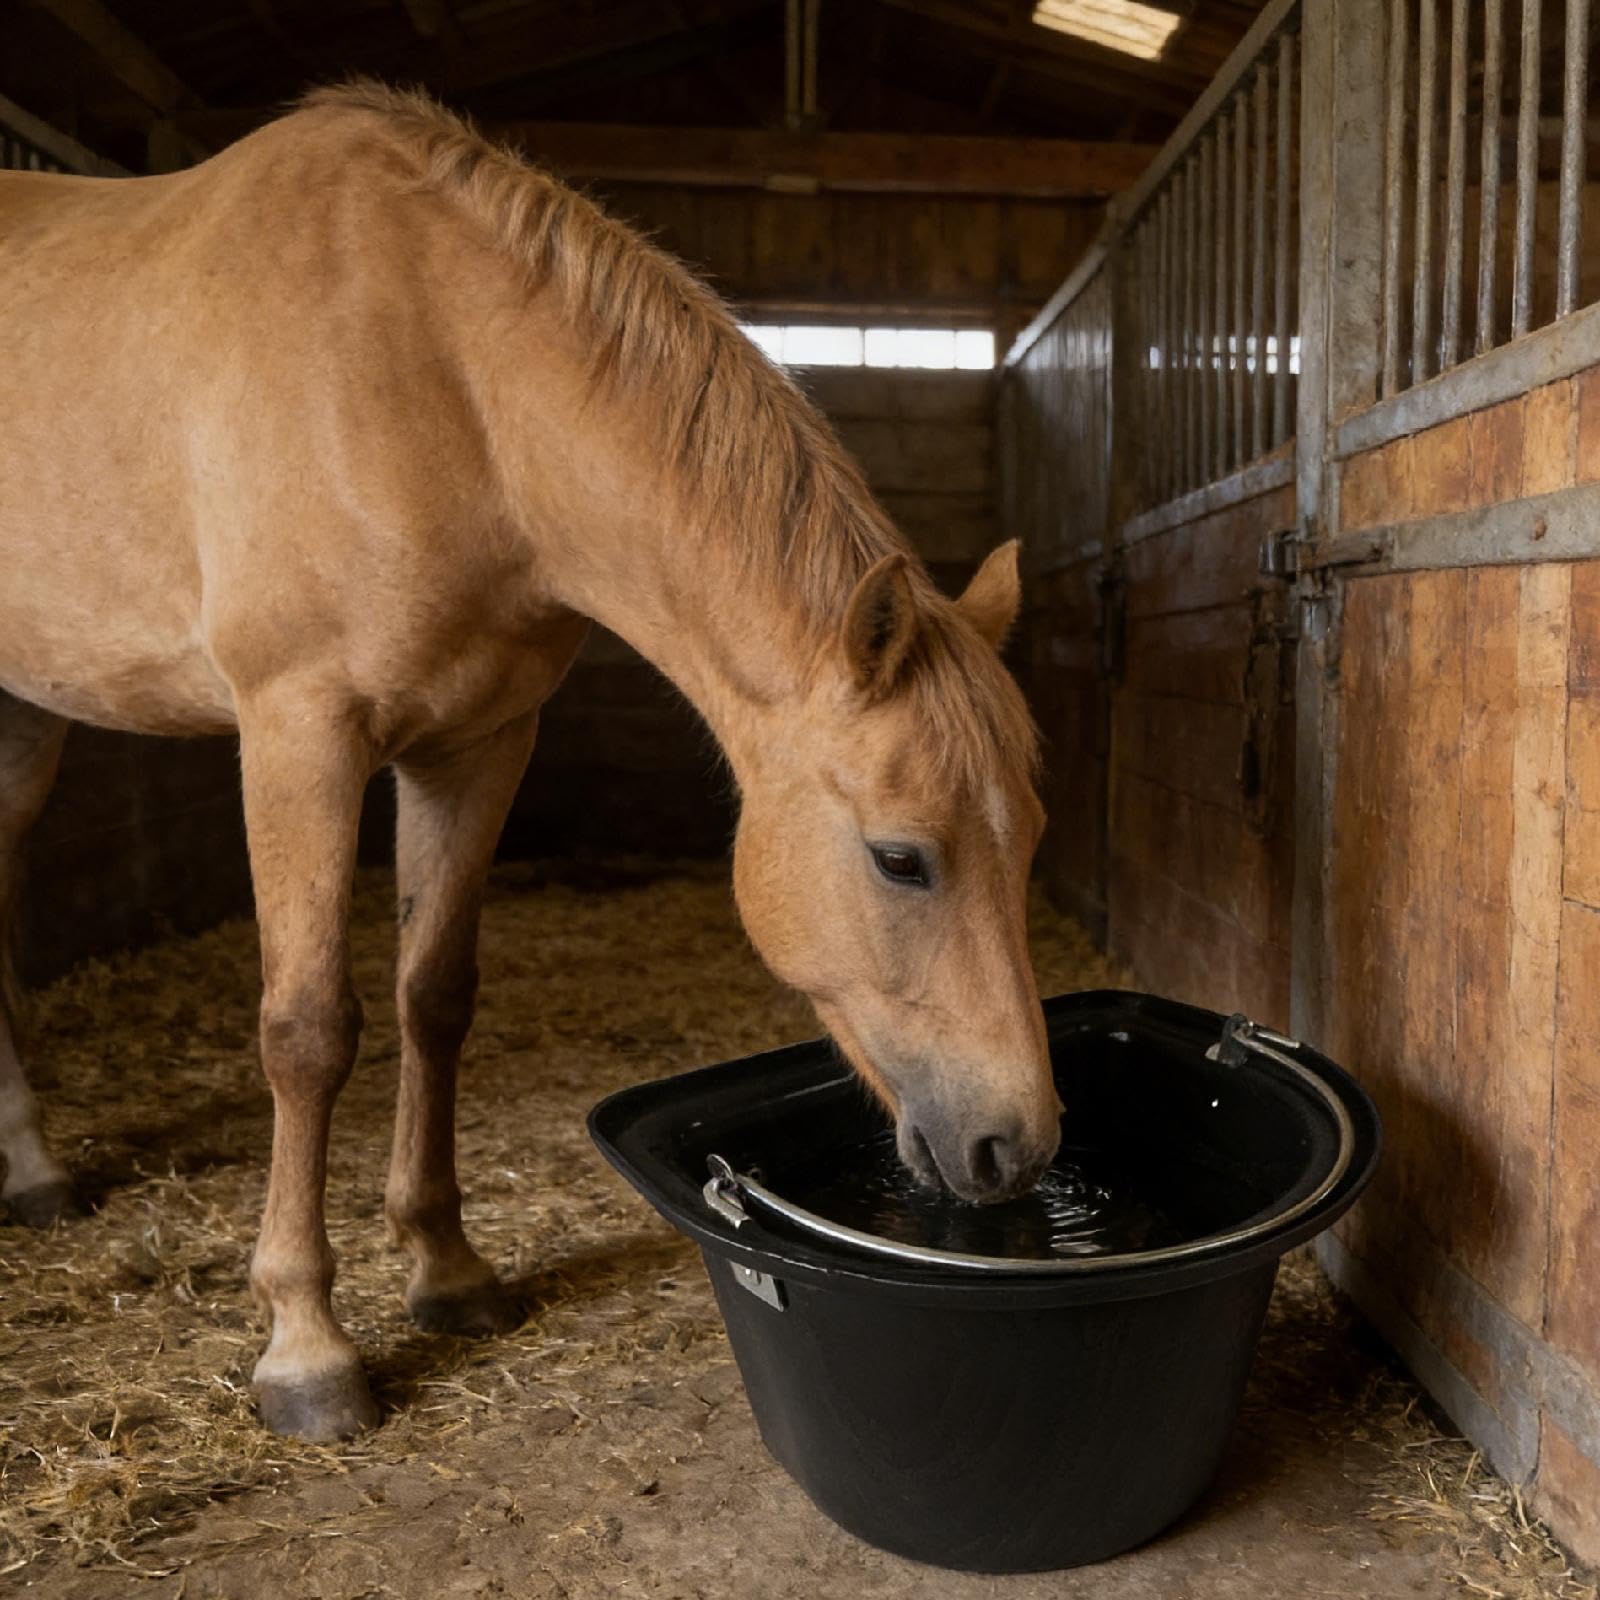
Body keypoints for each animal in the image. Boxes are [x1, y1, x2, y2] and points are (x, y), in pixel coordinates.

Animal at [0, 83, 1056, 1442]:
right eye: (900, 859)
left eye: (1027, 843)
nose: (1016, 1147)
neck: (439, 379)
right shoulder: (299, 732)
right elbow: (307, 1028)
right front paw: (306, 1345)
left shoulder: (477, 744)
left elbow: (433, 997)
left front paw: (447, 1270)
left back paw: (32, 1167)